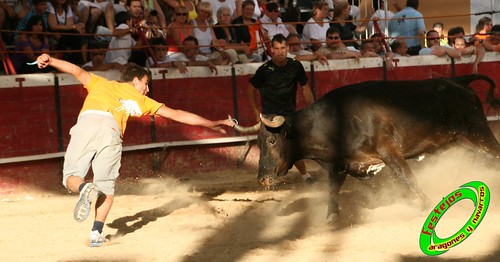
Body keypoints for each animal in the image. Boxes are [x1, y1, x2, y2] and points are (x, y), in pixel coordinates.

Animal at [232, 73, 500, 223]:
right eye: (258, 142)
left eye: (272, 141)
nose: (262, 179)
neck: (335, 121)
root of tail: (457, 80)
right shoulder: (341, 165)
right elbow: (332, 190)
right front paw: (331, 216)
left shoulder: (389, 150)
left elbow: (407, 177)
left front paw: (426, 203)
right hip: (452, 141)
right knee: (475, 156)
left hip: (478, 130)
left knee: (493, 153)